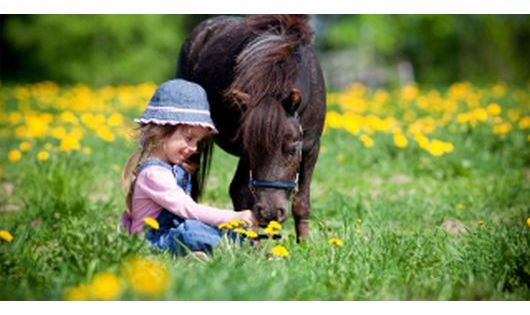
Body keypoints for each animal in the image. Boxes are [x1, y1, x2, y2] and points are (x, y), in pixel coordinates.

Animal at [177, 14, 324, 242]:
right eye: (254, 150)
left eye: (292, 150)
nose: (271, 213)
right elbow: (242, 193)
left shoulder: (311, 147)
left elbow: (302, 202)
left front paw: (305, 244)